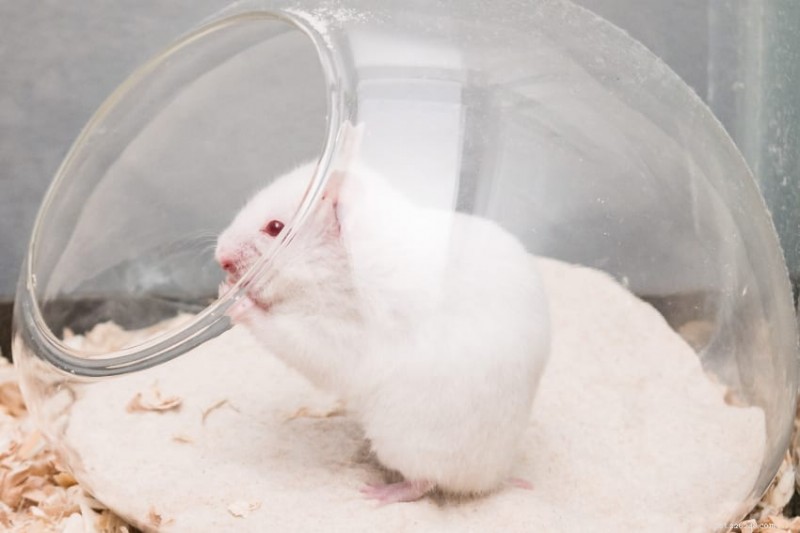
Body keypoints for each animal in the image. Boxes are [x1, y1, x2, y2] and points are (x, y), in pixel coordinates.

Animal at [215, 160, 551, 504]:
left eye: (275, 227)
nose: (219, 257)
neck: (335, 267)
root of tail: (494, 480)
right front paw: (225, 288)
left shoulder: (332, 336)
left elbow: (284, 334)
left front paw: (229, 297)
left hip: (403, 440)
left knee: (424, 483)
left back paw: (376, 493)